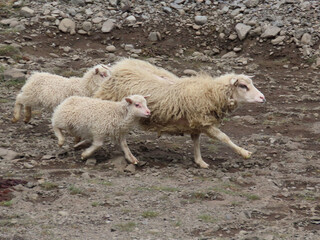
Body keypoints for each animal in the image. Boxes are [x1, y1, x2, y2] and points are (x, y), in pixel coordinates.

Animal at [94, 57, 266, 169]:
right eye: (243, 86)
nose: (262, 97)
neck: (211, 92)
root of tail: (118, 66)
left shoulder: (196, 123)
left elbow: (196, 141)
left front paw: (200, 161)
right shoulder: (204, 122)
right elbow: (224, 137)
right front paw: (244, 153)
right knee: (120, 135)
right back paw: (129, 157)